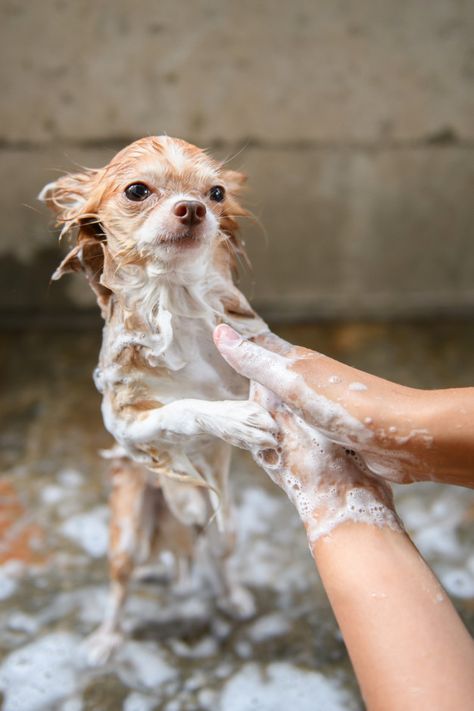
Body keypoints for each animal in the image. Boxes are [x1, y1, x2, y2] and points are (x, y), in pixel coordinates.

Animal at [40, 138, 278, 660]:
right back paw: (107, 638)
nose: (193, 208)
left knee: (217, 558)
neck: (174, 303)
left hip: (224, 526)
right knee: (121, 584)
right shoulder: (127, 424)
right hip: (129, 531)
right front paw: (235, 420)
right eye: (137, 190)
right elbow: (186, 408)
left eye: (216, 193)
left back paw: (232, 596)